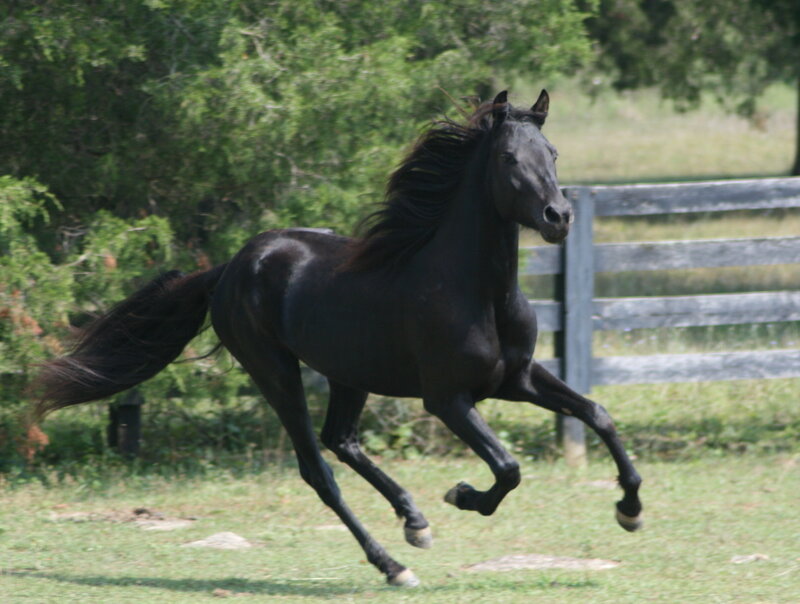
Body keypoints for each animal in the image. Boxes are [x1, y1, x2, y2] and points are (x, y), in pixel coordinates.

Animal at [32, 90, 642, 587]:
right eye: (509, 159)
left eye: (553, 153)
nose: (558, 216)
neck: (474, 291)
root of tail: (228, 270)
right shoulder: (447, 399)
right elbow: (508, 468)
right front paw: (464, 495)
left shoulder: (515, 379)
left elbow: (598, 414)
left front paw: (629, 509)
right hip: (275, 371)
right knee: (318, 468)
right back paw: (395, 565)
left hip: (351, 371)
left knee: (340, 440)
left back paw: (414, 522)